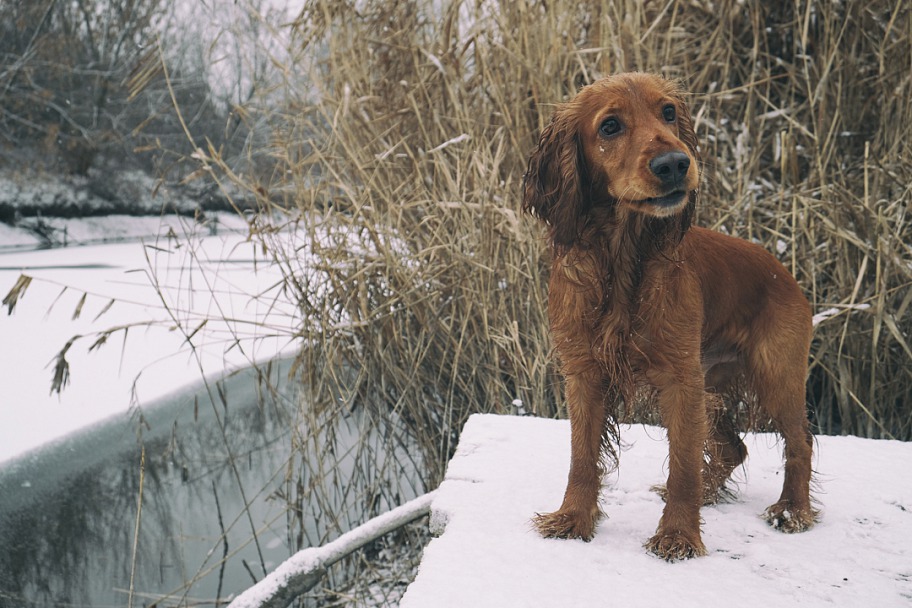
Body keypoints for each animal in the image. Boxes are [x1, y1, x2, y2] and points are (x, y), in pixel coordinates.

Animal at [524, 73, 816, 564]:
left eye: (668, 113)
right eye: (610, 126)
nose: (676, 164)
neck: (623, 260)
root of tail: (783, 271)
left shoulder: (680, 381)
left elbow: (683, 465)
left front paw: (679, 536)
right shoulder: (584, 373)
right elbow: (582, 457)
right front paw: (573, 519)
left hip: (775, 375)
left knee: (800, 443)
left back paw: (792, 510)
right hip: (712, 383)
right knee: (734, 448)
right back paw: (714, 496)